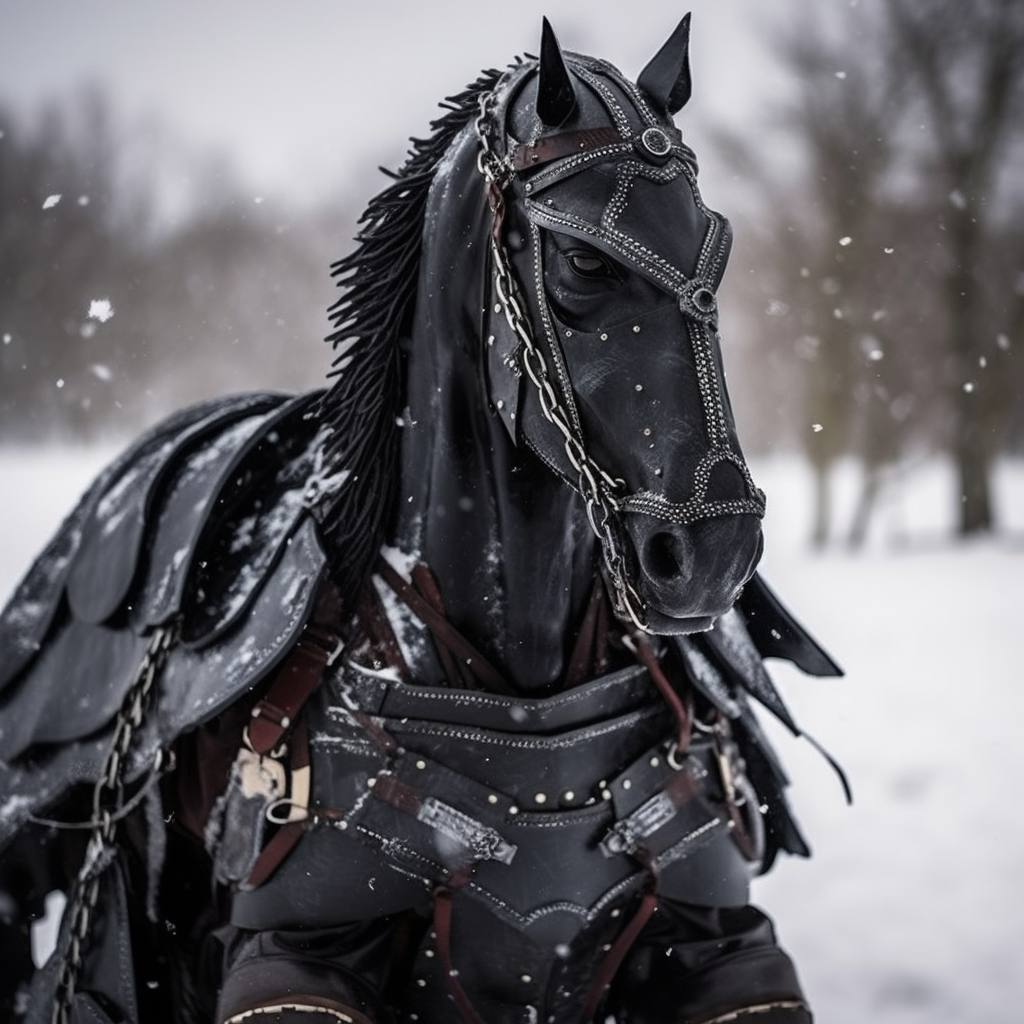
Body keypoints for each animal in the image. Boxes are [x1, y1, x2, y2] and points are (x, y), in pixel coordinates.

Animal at [0, 16, 839, 1024]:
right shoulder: (299, 952)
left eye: (719, 250)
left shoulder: (715, 938)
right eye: (586, 261)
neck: (522, 695)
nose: (713, 551)